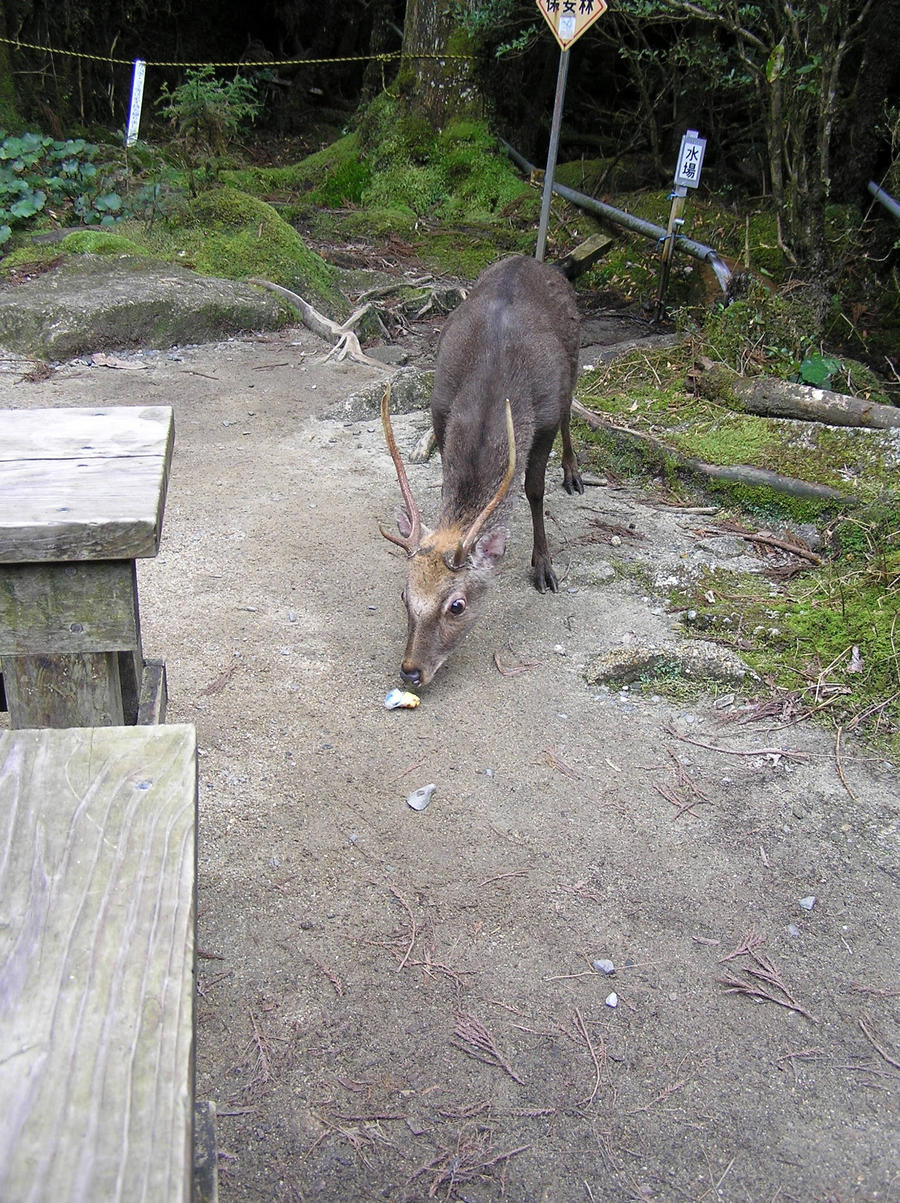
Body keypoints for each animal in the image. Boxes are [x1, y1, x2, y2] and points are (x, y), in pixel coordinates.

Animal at [380, 253, 584, 688]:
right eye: (405, 595)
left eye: (457, 605)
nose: (411, 672)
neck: (494, 389)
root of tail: (532, 258)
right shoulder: (440, 410)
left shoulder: (543, 418)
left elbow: (535, 490)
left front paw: (544, 568)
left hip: (573, 365)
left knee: (570, 414)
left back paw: (573, 473)